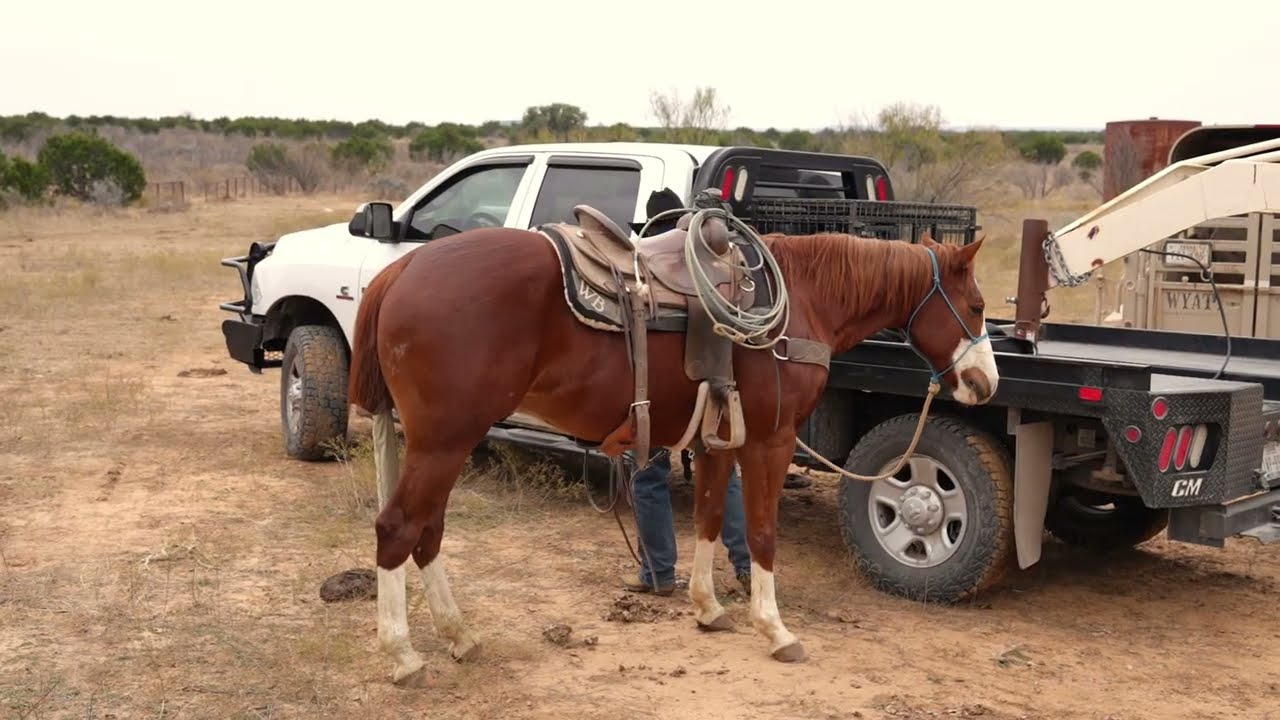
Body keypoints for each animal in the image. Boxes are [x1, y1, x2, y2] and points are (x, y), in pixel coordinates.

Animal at [345, 209, 998, 685]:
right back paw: (403, 655)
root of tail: (402, 269)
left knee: (428, 531)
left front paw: (708, 608)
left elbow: (709, 519)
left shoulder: (717, 440)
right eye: (977, 306)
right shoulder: (770, 439)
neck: (802, 301)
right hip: (443, 441)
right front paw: (775, 630)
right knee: (399, 529)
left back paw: (459, 637)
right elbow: (761, 534)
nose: (984, 384)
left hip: (444, 442)